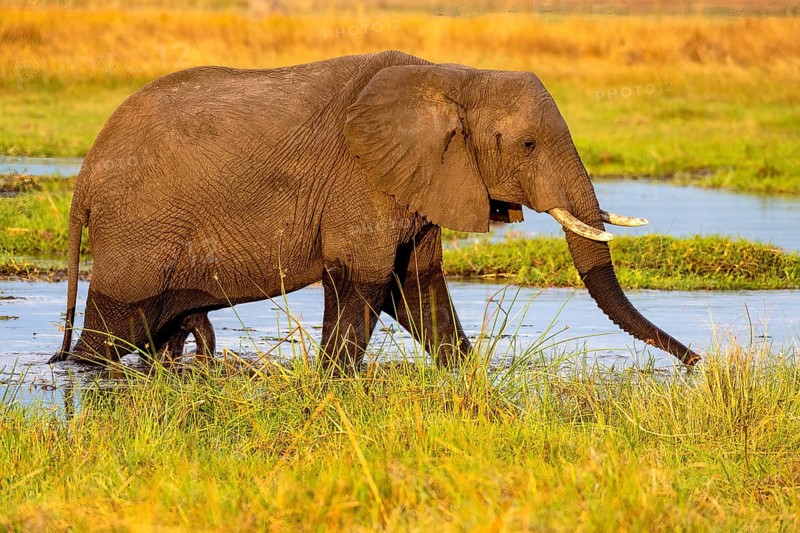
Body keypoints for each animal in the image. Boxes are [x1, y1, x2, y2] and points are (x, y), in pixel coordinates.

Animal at [50, 50, 700, 370]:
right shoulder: (360, 179)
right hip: (137, 230)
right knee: (114, 330)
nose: (698, 363)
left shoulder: (421, 179)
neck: (452, 77)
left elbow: (416, 287)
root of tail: (83, 180)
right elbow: (363, 283)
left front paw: (468, 378)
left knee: (159, 330)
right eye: (527, 146)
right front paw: (334, 385)